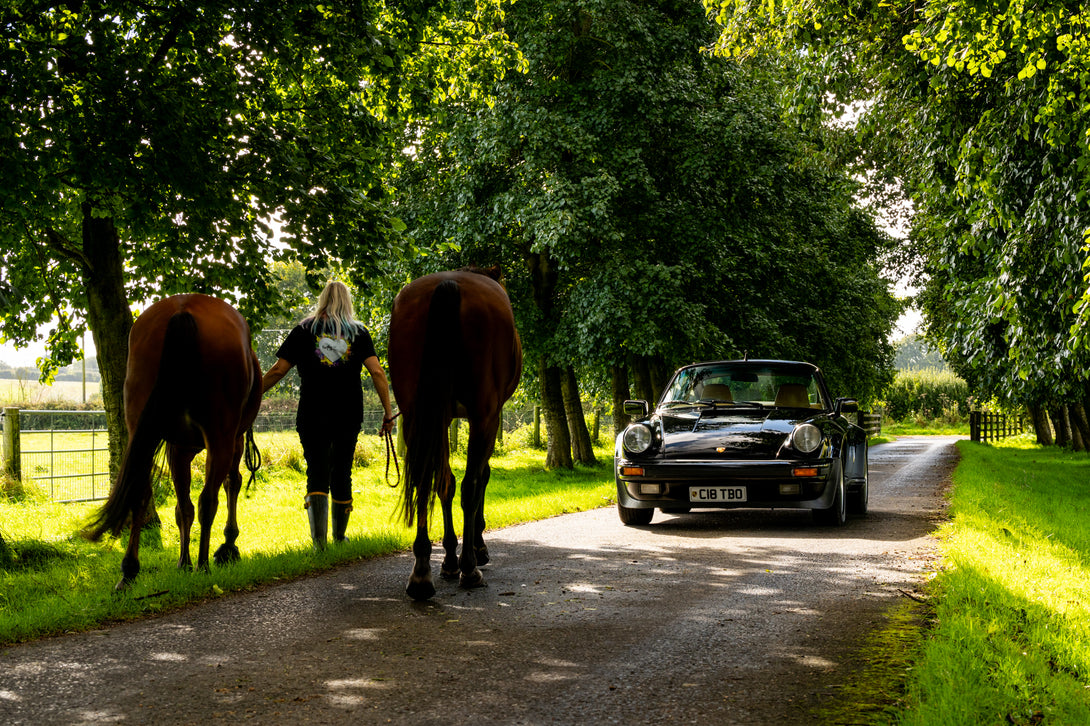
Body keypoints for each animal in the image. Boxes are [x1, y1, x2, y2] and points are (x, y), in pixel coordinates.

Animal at [86, 294, 262, 588]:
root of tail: (183, 308)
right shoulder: (232, 440)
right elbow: (230, 484)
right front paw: (226, 546)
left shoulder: (177, 449)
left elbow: (183, 509)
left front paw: (183, 562)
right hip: (220, 437)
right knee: (208, 501)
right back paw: (203, 565)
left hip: (142, 433)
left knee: (140, 495)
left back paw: (129, 570)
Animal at [390, 268, 525, 597]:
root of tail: (448, 283)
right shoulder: (489, 418)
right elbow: (480, 478)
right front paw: (477, 548)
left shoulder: (440, 418)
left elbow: (444, 483)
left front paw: (449, 557)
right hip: (482, 415)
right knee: (469, 484)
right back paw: (469, 568)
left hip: (418, 415)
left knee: (427, 481)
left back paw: (422, 572)